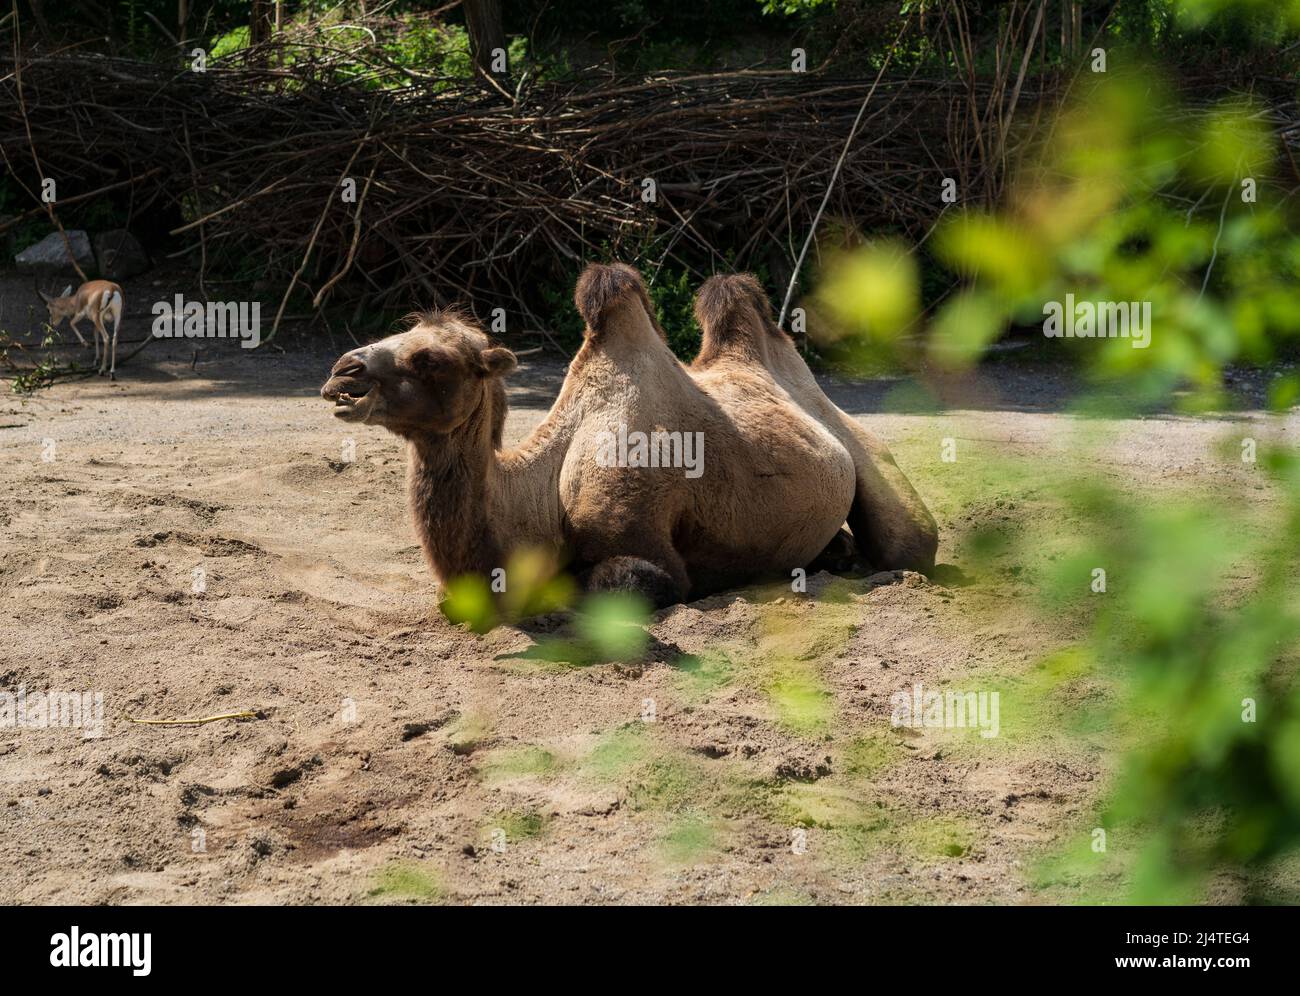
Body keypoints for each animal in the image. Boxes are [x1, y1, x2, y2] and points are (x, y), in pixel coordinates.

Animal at [322, 262, 935, 608]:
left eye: (432, 359)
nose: (343, 373)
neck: (539, 497)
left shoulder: (639, 535)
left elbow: (626, 583)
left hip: (870, 459)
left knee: (908, 544)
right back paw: (835, 555)